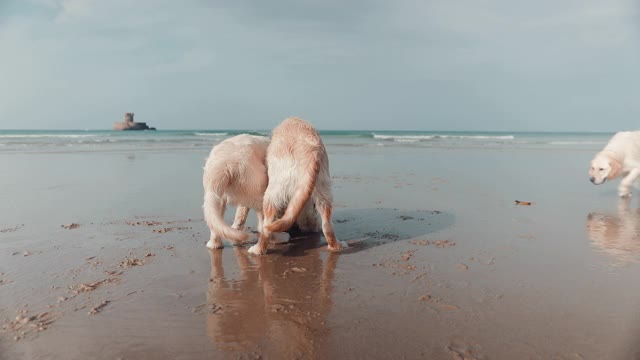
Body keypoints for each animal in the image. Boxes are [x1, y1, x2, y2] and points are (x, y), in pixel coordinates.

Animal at [246, 116, 344, 255]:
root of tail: (311, 151)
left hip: (274, 190)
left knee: (267, 226)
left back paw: (257, 249)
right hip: (323, 186)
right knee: (327, 224)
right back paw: (335, 246)